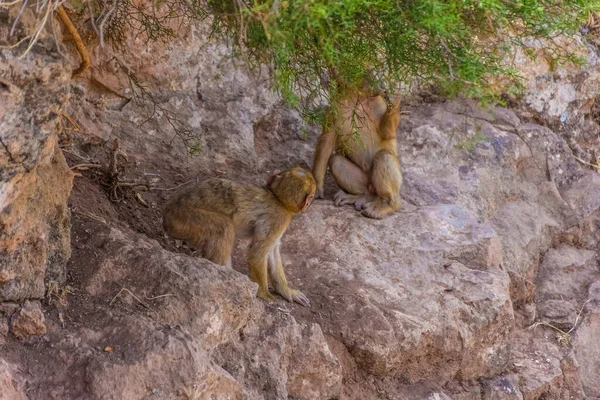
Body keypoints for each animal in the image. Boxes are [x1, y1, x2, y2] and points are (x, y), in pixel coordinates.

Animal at [162, 167, 316, 308]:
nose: (309, 204)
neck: (278, 199)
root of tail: (168, 213)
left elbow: (272, 251)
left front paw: (286, 291)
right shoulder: (280, 219)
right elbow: (256, 254)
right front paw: (264, 294)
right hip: (185, 218)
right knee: (225, 227)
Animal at [312, 88, 400, 219]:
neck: (357, 101)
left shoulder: (379, 104)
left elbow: (388, 133)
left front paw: (394, 106)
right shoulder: (333, 110)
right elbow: (326, 141)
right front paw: (317, 184)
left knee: (384, 155)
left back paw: (387, 204)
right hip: (367, 181)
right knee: (336, 161)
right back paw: (364, 196)